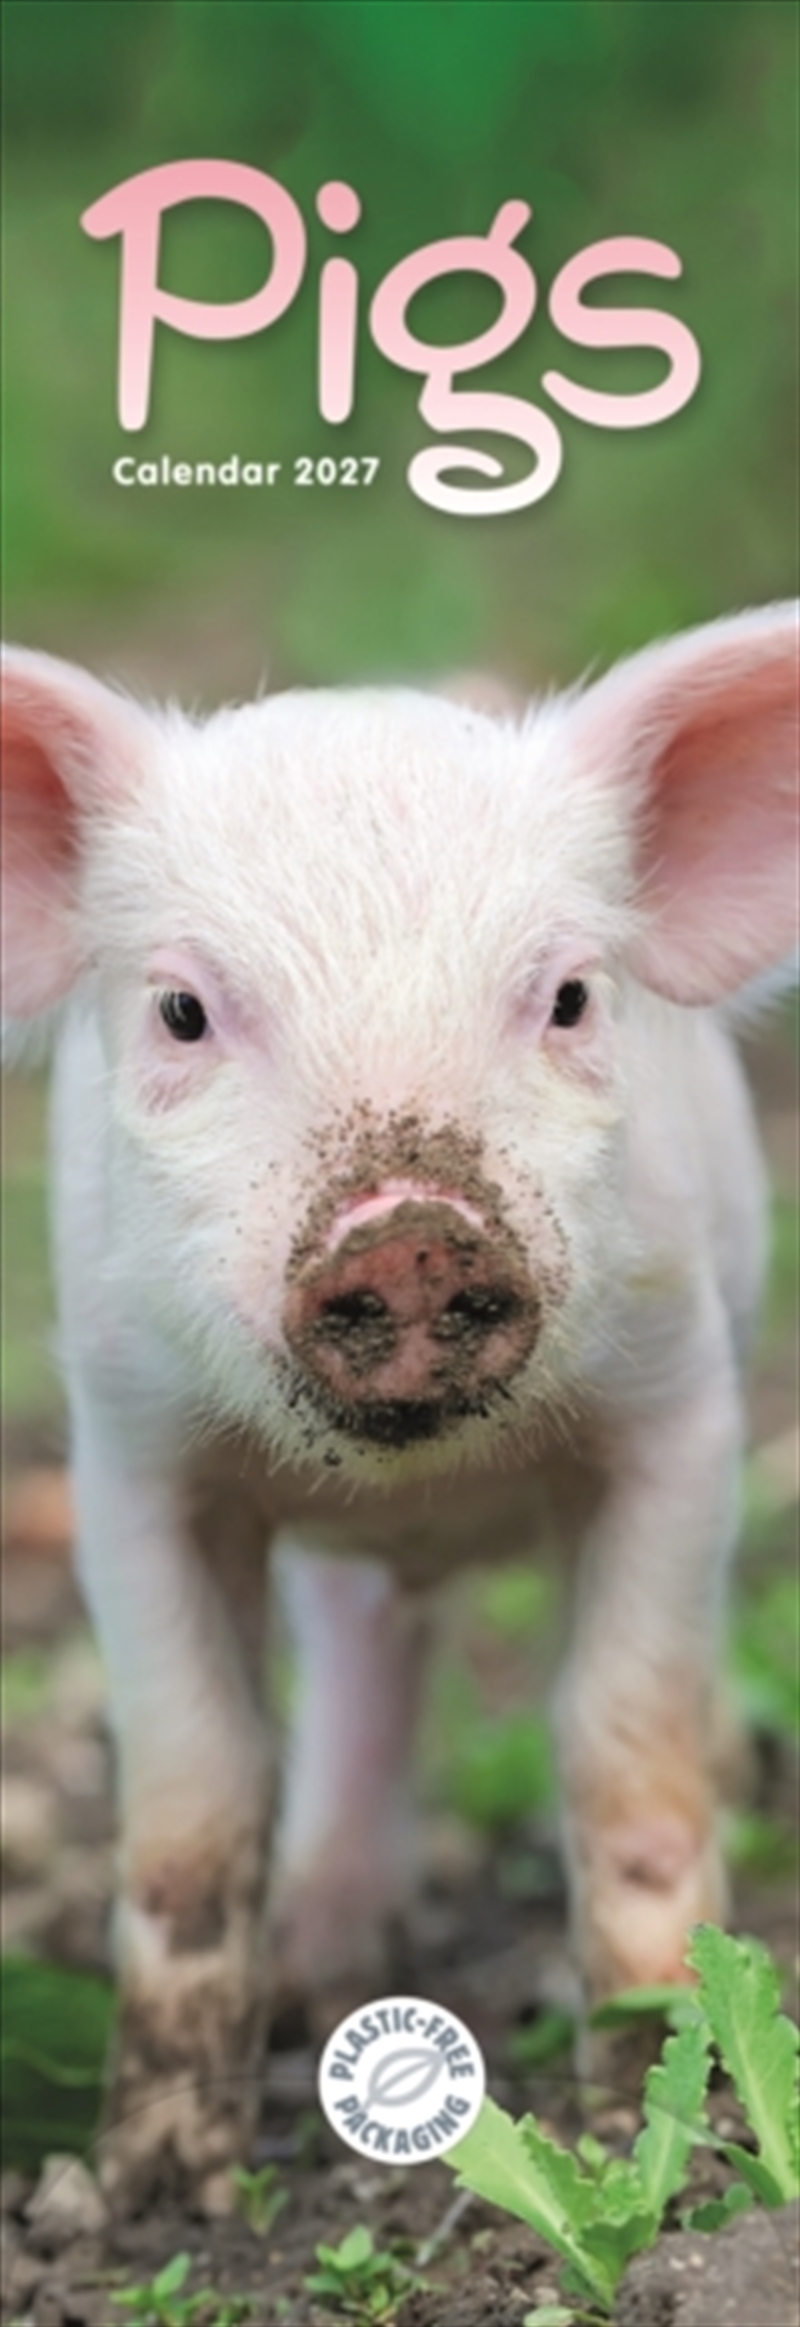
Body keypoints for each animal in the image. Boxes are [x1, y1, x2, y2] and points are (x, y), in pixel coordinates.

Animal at [1, 606, 797, 2211]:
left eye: (568, 995)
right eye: (182, 1008)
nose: (412, 1232)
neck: (425, 1477)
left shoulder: (680, 1404)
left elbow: (620, 1746)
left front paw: (645, 2108)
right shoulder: (129, 1446)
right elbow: (193, 1793)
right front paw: (158, 2176)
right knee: (363, 1653)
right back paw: (324, 1968)